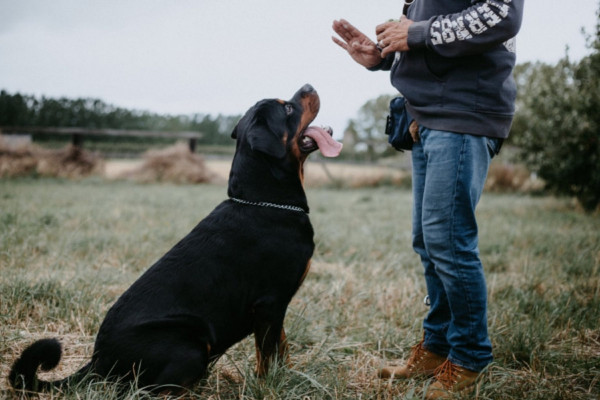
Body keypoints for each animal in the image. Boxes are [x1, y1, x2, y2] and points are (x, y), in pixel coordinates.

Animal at [9, 84, 342, 394]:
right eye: (287, 109)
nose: (309, 86)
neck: (264, 200)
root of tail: (98, 361)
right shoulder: (270, 304)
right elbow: (268, 356)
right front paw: (272, 386)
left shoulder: (276, 309)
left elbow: (282, 350)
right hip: (189, 344)